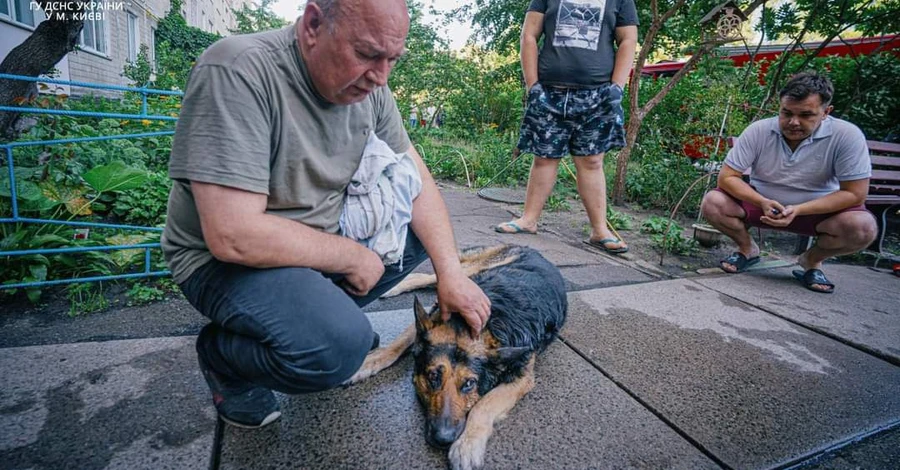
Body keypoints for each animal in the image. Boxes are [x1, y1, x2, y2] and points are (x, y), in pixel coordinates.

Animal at [342, 246, 564, 470]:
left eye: (469, 384)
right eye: (432, 377)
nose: (443, 439)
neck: (490, 322)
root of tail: (532, 250)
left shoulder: (521, 377)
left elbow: (484, 405)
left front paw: (468, 444)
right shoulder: (433, 319)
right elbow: (396, 346)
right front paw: (367, 362)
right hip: (463, 278)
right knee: (431, 277)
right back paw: (398, 286)